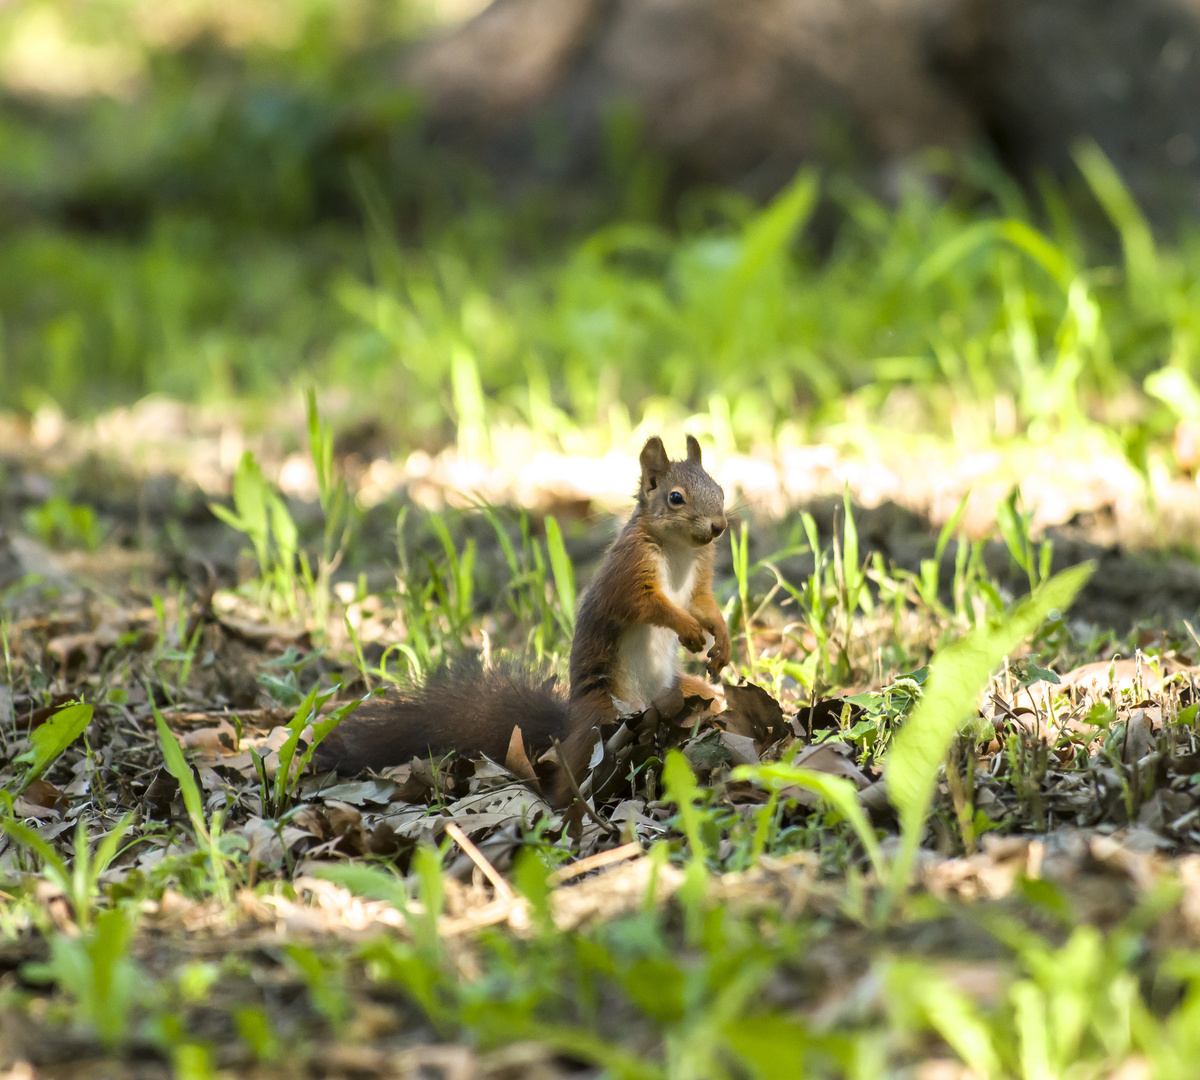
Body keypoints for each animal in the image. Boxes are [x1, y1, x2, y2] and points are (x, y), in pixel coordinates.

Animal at [314, 434, 729, 806]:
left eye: (721, 490)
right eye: (675, 498)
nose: (719, 527)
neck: (677, 550)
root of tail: (568, 724)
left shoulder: (698, 578)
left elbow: (704, 605)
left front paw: (721, 641)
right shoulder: (628, 573)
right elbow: (648, 605)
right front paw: (688, 629)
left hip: (683, 694)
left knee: (713, 699)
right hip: (603, 718)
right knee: (569, 776)